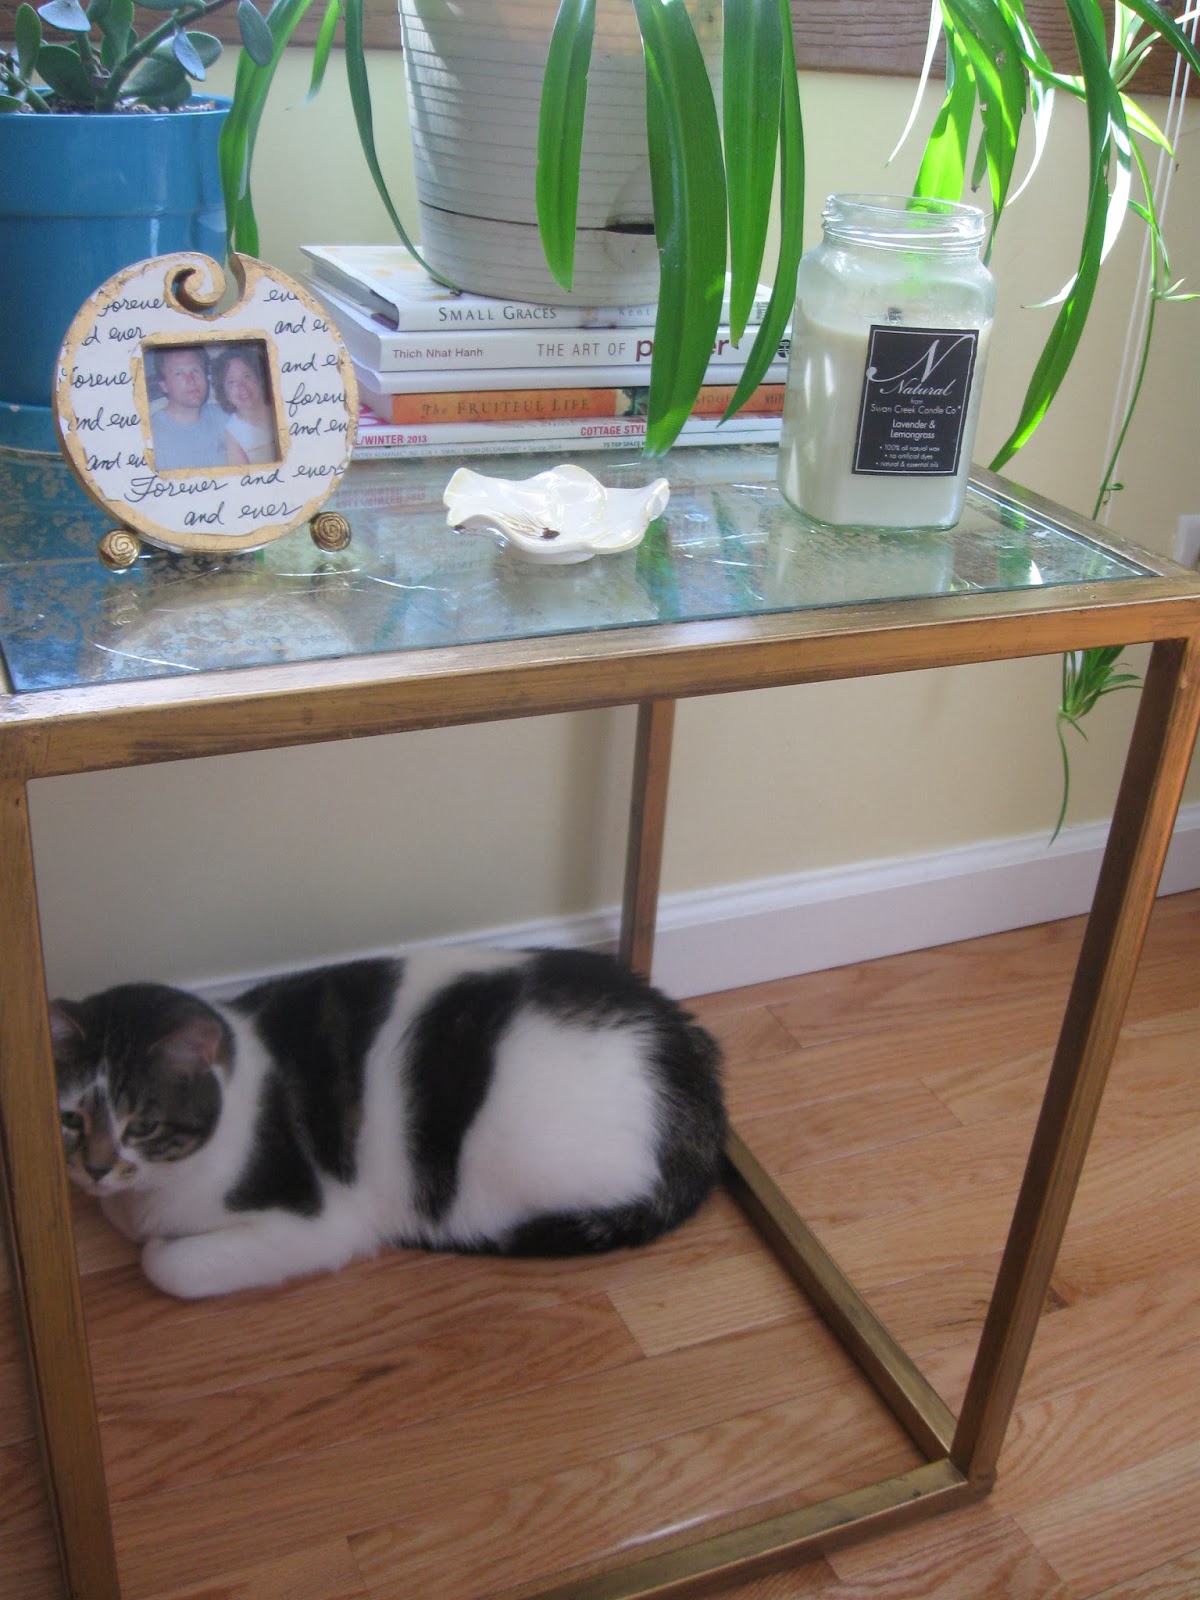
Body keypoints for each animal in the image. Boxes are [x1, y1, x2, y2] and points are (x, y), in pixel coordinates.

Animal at [50, 947, 726, 1299]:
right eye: (71, 1121)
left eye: (141, 1125)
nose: (96, 1169)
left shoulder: (317, 1223)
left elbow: (165, 1263)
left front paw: (158, 1242)